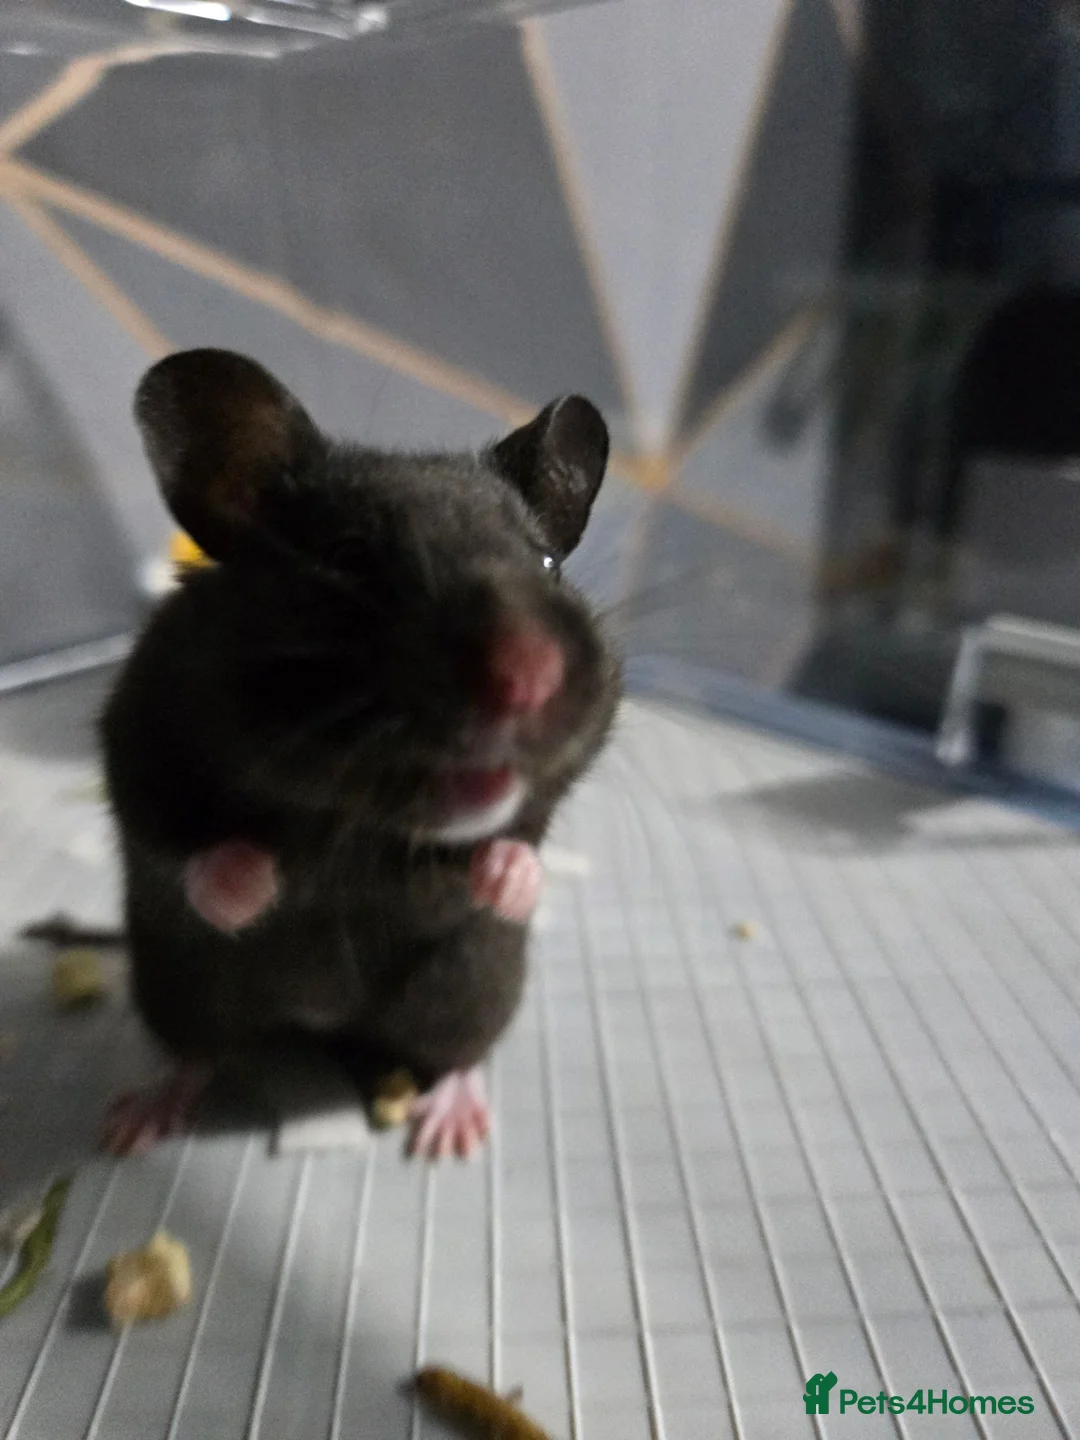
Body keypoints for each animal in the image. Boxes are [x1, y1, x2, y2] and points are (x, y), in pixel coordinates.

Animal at [99, 349, 620, 1159]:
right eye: (348, 560)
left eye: (545, 564)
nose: (528, 677)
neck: (362, 828)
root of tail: (319, 1024)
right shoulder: (136, 740)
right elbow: (185, 857)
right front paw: (258, 879)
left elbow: (524, 846)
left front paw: (503, 875)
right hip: (180, 991)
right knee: (197, 1052)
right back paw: (134, 1124)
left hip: (467, 992)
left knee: (457, 1053)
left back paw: (450, 1134)